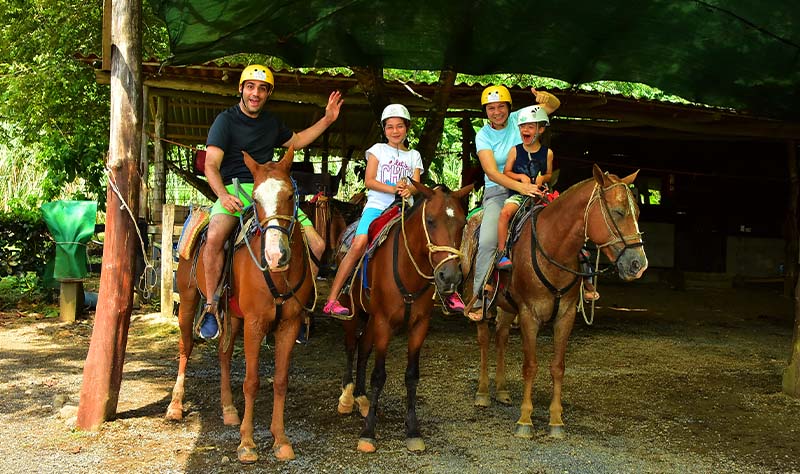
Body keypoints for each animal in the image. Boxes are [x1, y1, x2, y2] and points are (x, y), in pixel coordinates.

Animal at [163, 147, 312, 462]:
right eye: (254, 199)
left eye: (290, 195)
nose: (276, 255)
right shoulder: (255, 322)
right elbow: (252, 381)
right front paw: (247, 442)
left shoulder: (289, 323)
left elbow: (280, 380)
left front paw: (280, 439)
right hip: (189, 300)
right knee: (186, 347)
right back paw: (175, 406)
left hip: (232, 315)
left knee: (224, 353)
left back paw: (229, 409)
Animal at [334, 181, 472, 452]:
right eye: (430, 221)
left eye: (462, 223)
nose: (450, 277)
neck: (409, 270)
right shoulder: (384, 323)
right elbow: (379, 376)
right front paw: (368, 432)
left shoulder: (419, 325)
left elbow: (411, 376)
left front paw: (412, 430)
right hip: (353, 312)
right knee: (350, 346)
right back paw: (347, 397)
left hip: (370, 316)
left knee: (363, 349)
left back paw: (362, 399)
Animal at [460, 165, 648, 438]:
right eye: (618, 212)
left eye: (638, 212)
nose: (639, 264)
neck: (553, 248)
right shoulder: (529, 315)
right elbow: (530, 366)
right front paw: (525, 421)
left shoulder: (565, 316)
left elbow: (558, 366)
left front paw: (556, 421)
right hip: (483, 302)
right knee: (484, 339)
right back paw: (483, 392)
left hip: (508, 306)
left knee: (501, 337)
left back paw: (502, 390)